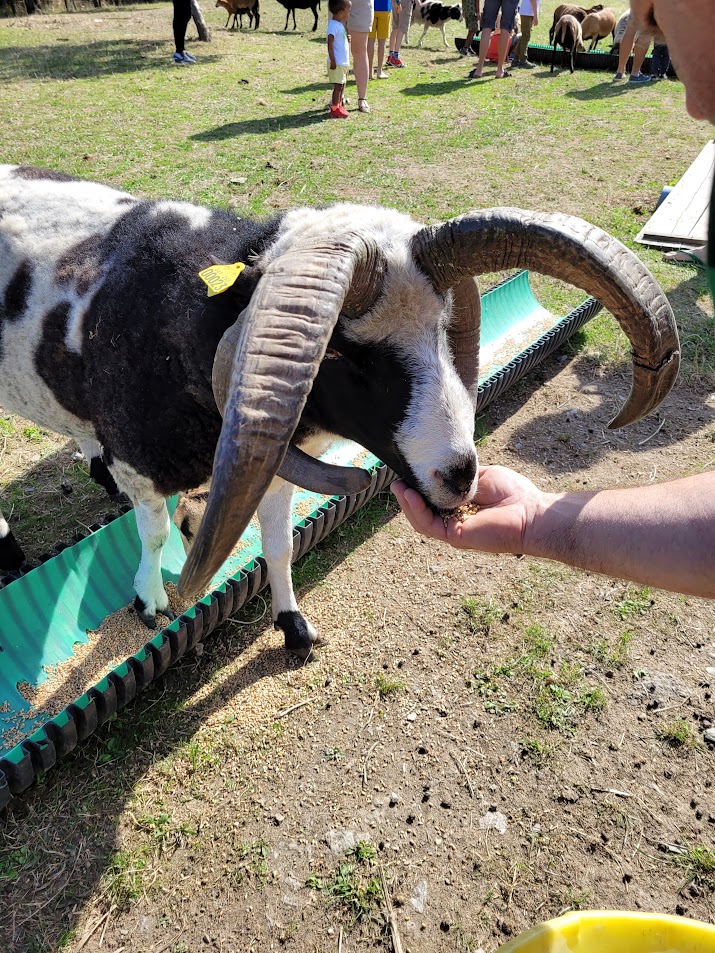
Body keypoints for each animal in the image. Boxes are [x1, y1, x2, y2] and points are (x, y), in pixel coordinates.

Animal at [0, 165, 680, 660]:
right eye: (347, 353)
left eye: (444, 327)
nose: (460, 476)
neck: (184, 322)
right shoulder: (142, 465)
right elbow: (156, 532)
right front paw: (150, 602)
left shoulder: (272, 467)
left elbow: (277, 546)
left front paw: (294, 628)